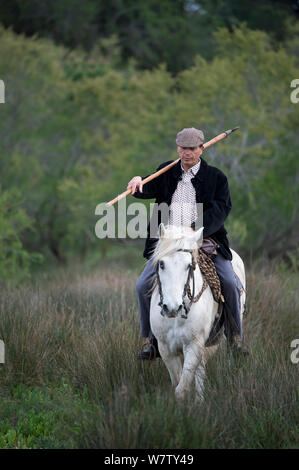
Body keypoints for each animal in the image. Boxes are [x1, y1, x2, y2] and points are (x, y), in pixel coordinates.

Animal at [150, 224, 246, 400]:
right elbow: (177, 382)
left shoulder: (194, 345)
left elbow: (182, 389)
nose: (172, 307)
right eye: (161, 264)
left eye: (189, 265)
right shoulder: (165, 349)